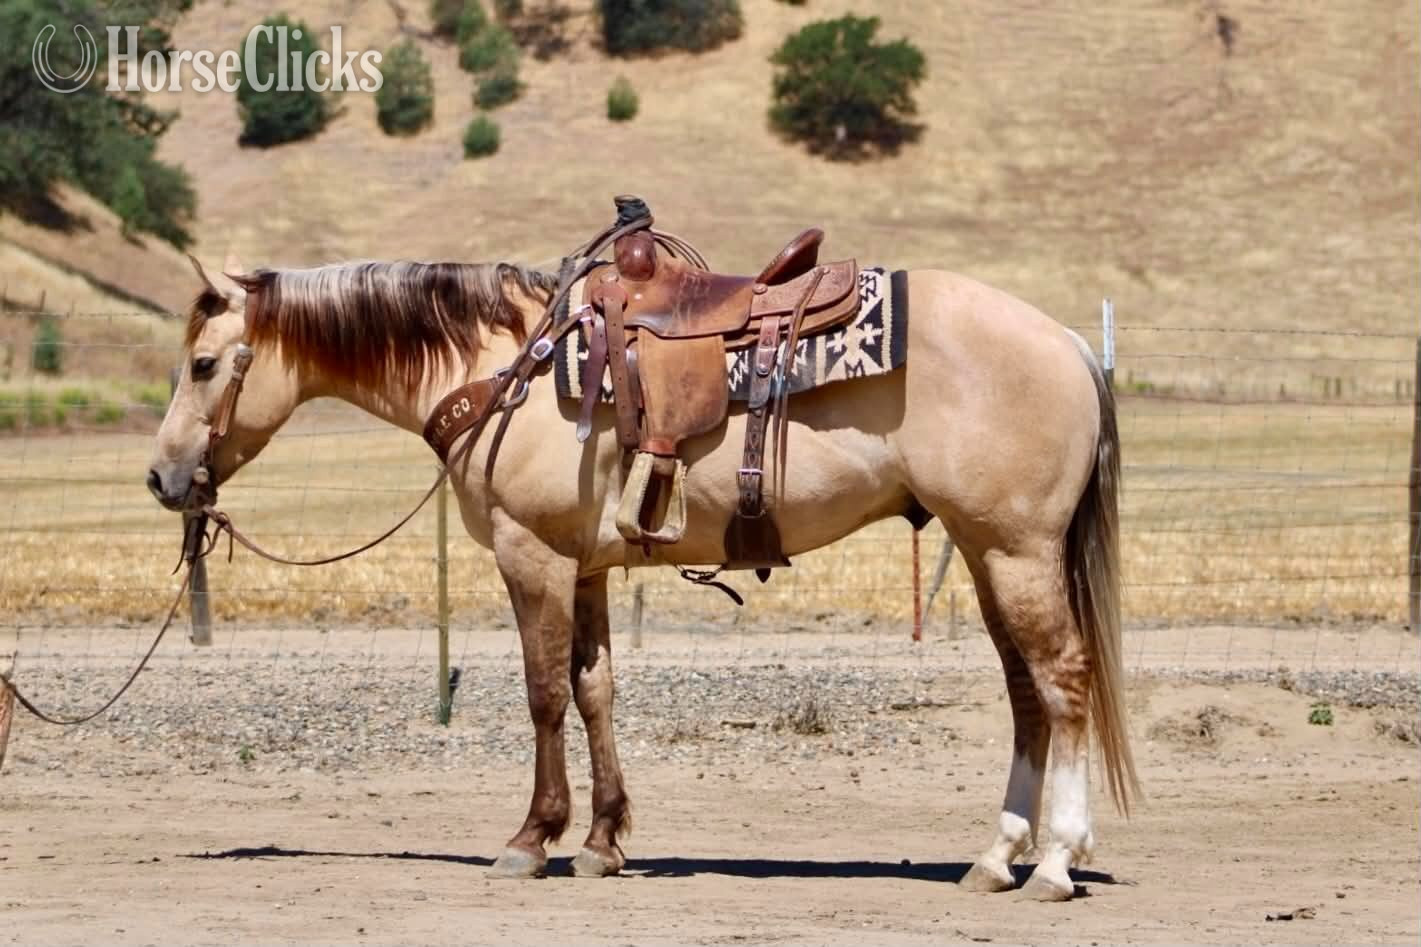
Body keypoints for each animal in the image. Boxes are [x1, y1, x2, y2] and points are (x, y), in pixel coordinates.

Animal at [147, 248, 1138, 901]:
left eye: (203, 363)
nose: (161, 477)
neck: (504, 368)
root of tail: (1067, 343)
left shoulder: (532, 556)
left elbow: (545, 692)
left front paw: (531, 838)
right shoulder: (583, 567)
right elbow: (596, 690)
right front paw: (601, 840)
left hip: (1014, 551)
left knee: (1061, 681)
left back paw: (1055, 861)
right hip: (985, 552)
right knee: (1024, 693)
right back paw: (996, 857)